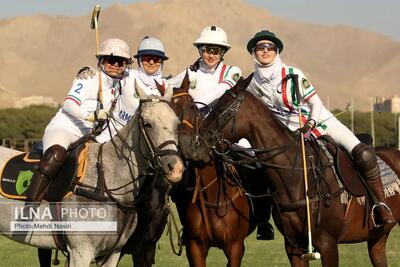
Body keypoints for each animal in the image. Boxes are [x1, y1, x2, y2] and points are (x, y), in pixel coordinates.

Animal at [0, 97, 184, 266]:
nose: (175, 168)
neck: (107, 181)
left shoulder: (112, 253)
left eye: (177, 125)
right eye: (147, 124)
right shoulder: (81, 252)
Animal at [188, 75, 400, 267]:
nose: (196, 147)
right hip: (377, 238)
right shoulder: (293, 247)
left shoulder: (328, 244)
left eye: (221, 109)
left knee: (363, 154)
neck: (296, 179)